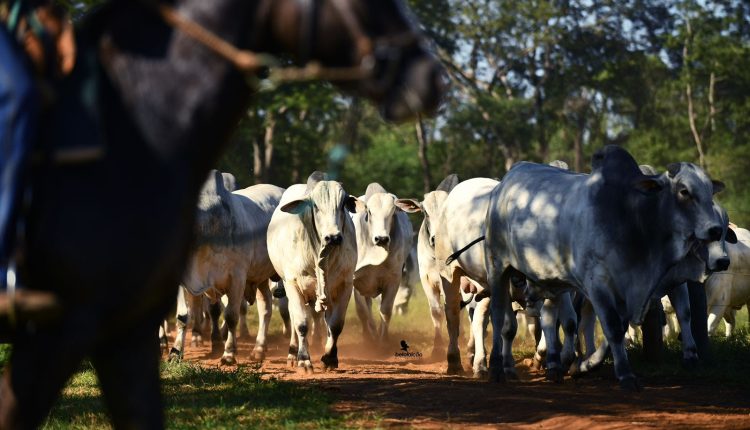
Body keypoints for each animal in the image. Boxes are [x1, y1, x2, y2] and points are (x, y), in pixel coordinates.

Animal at [268, 173, 366, 372]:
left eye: (343, 204)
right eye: (315, 206)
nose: (333, 237)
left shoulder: (345, 285)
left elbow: (335, 325)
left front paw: (330, 358)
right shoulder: (292, 284)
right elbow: (301, 324)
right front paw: (304, 360)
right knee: (294, 317)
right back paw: (293, 353)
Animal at [354, 183, 414, 344]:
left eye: (393, 211)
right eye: (369, 211)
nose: (381, 239)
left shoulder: (393, 280)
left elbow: (386, 311)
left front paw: (383, 340)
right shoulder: (354, 280)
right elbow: (362, 311)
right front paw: (368, 338)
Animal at [484, 145, 724, 390]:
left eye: (709, 191)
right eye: (684, 191)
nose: (715, 229)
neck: (632, 218)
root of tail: (507, 180)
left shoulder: (626, 289)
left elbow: (616, 331)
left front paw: (582, 366)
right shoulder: (597, 284)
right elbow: (613, 328)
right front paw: (626, 376)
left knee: (550, 318)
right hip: (497, 265)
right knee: (498, 315)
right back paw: (496, 368)